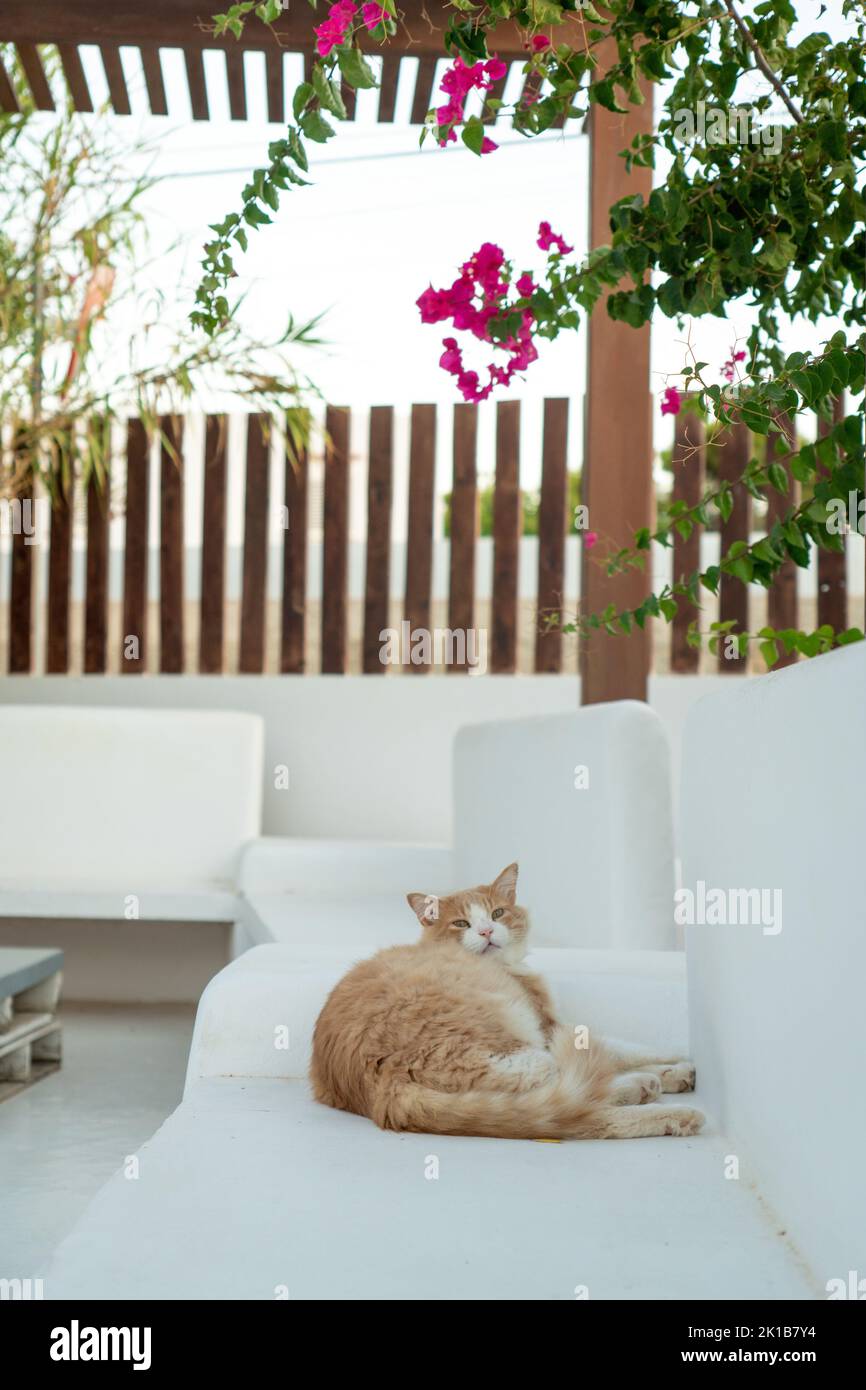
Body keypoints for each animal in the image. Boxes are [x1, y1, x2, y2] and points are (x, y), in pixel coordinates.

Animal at [311, 861, 706, 1145]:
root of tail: (380, 1085)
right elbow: (626, 1049)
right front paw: (677, 1064)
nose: (486, 932)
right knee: (579, 1111)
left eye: (497, 914)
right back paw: (665, 1106)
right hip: (526, 1056)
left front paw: (675, 1072)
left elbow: (621, 1052)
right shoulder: (550, 1026)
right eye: (461, 923)